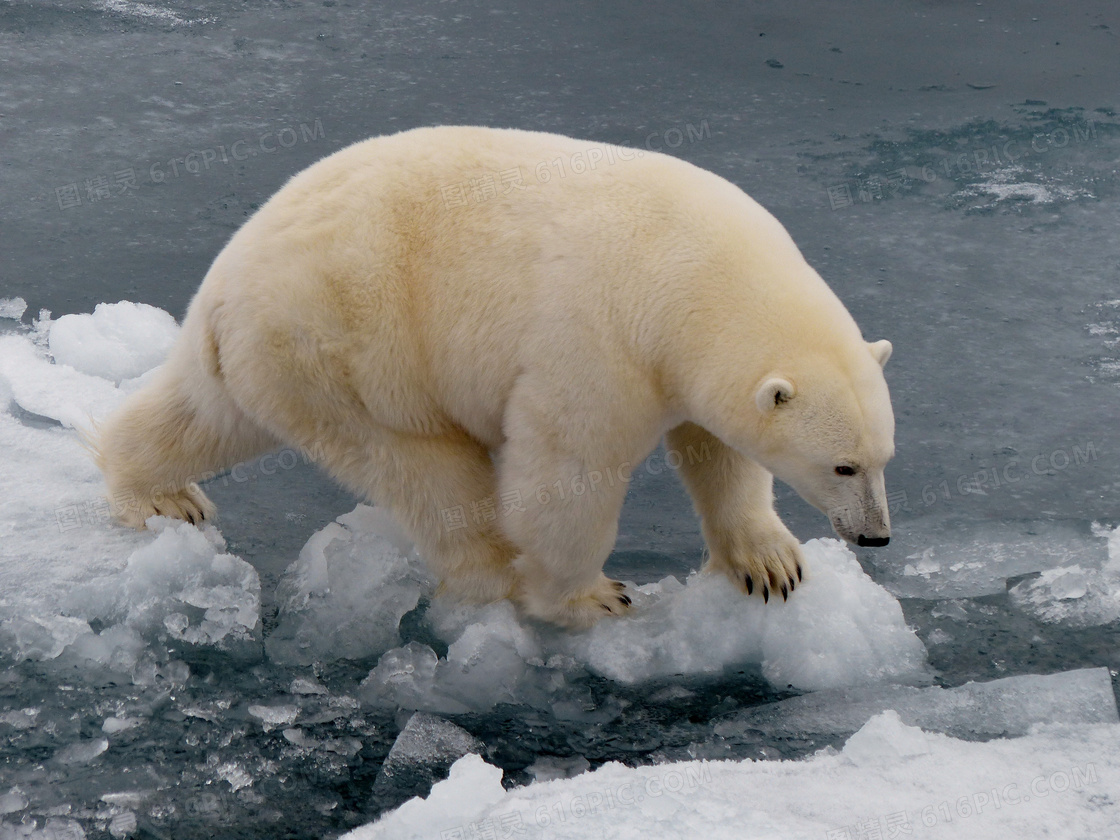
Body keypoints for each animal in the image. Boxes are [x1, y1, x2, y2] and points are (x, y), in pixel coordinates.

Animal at [94, 126, 891, 631]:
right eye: (843, 466)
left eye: (882, 458)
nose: (877, 536)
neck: (694, 271)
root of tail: (228, 282)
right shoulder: (598, 339)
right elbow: (567, 472)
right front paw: (585, 598)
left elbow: (717, 450)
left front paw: (771, 566)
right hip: (351, 352)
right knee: (428, 472)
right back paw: (497, 576)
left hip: (267, 354)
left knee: (206, 414)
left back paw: (159, 493)